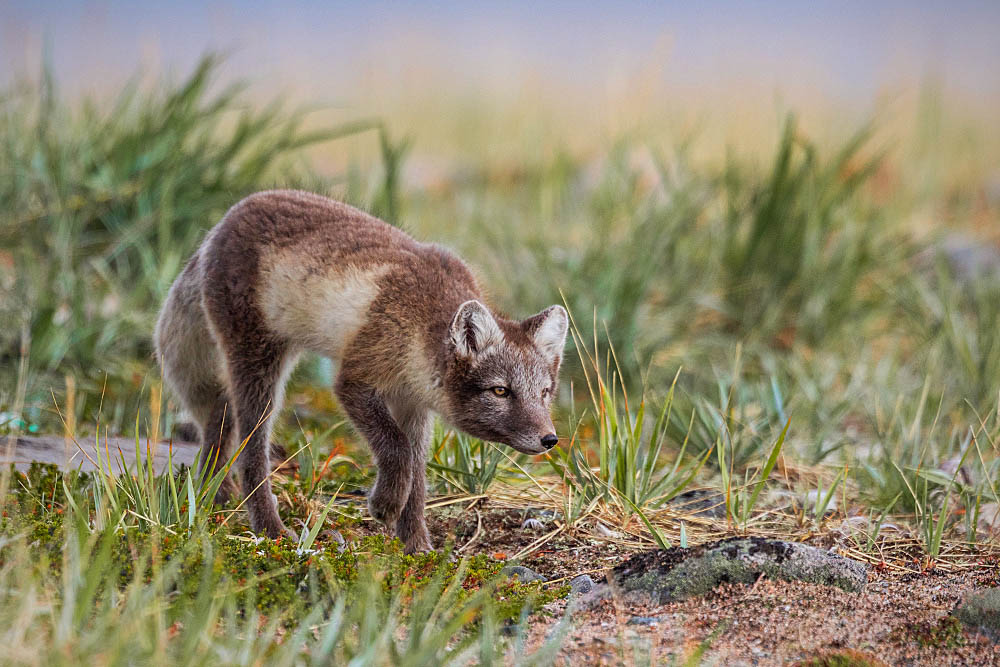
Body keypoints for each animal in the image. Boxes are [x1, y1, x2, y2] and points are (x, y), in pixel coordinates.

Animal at [152, 189, 568, 552]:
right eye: (501, 391)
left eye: (544, 393)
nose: (550, 440)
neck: (419, 326)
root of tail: (222, 223)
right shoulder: (355, 380)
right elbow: (396, 448)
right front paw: (385, 504)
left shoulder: (413, 404)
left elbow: (417, 474)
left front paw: (417, 546)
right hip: (258, 365)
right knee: (249, 450)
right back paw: (271, 530)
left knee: (219, 429)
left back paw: (214, 495)